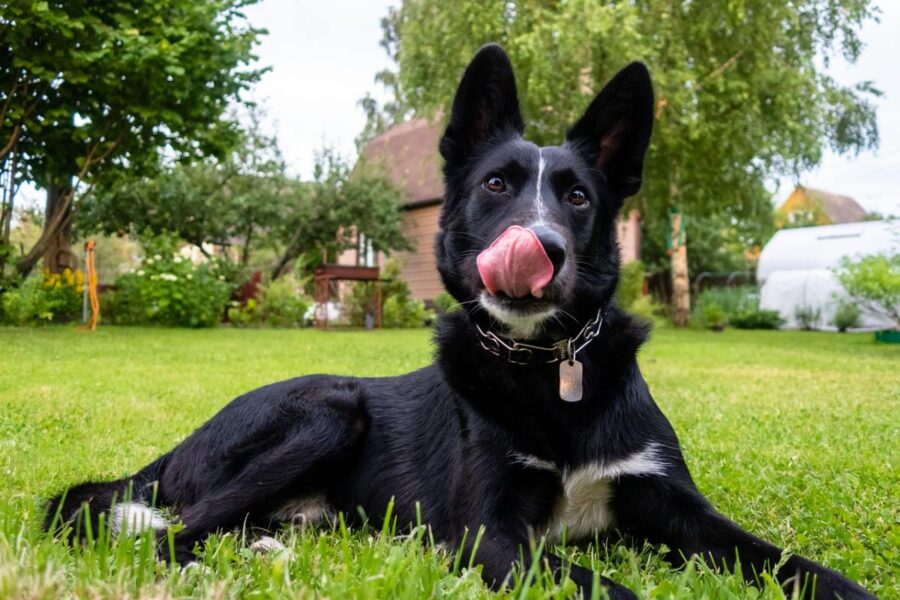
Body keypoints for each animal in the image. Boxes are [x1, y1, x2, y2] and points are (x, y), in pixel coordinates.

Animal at [45, 44, 876, 596]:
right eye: (497, 185)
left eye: (579, 197)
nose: (538, 247)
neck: (547, 368)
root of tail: (174, 450)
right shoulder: (489, 535)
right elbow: (603, 586)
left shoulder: (675, 504)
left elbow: (783, 559)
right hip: (328, 411)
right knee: (171, 532)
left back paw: (264, 554)